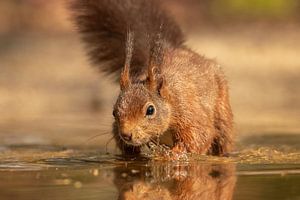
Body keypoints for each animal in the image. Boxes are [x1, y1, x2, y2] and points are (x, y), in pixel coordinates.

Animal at [71, 0, 234, 155]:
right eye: (113, 112)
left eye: (150, 110)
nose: (126, 135)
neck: (170, 102)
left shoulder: (189, 115)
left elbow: (199, 137)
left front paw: (174, 154)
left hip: (222, 113)